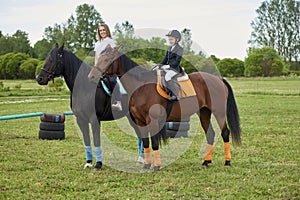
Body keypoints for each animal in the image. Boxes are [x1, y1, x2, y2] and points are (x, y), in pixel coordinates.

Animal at [87, 45, 241, 170]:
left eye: (107, 59)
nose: (91, 76)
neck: (141, 87)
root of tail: (218, 79)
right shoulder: (140, 121)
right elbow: (145, 142)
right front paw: (147, 165)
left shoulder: (152, 120)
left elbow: (154, 142)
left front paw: (156, 166)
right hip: (204, 112)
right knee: (210, 134)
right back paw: (206, 162)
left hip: (219, 112)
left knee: (225, 132)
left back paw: (227, 162)